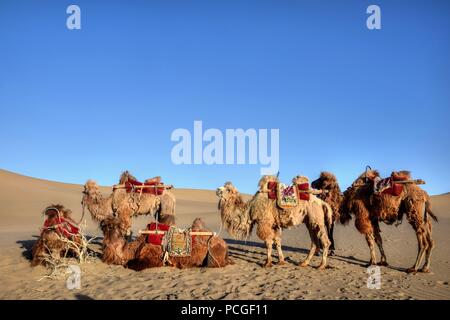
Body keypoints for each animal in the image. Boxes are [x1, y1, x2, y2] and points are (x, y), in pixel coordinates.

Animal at [98, 214, 232, 272]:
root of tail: (225, 245)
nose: (102, 222)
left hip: (214, 255)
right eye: (104, 227)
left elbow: (131, 264)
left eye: (112, 225)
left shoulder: (152, 258)